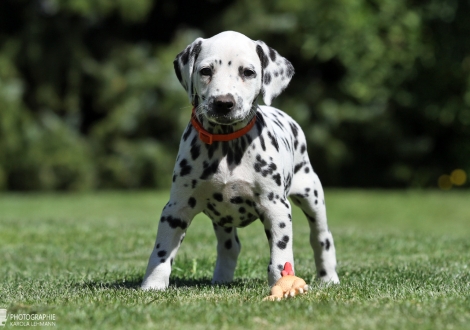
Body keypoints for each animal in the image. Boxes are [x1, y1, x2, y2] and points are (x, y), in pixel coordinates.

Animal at [141, 30, 340, 288]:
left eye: (248, 72)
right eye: (206, 71)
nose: (224, 103)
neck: (227, 144)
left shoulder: (276, 208)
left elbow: (280, 256)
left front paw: (280, 283)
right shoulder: (176, 208)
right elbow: (161, 252)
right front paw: (153, 285)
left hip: (311, 194)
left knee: (321, 237)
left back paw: (329, 278)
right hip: (222, 219)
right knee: (230, 246)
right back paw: (221, 279)